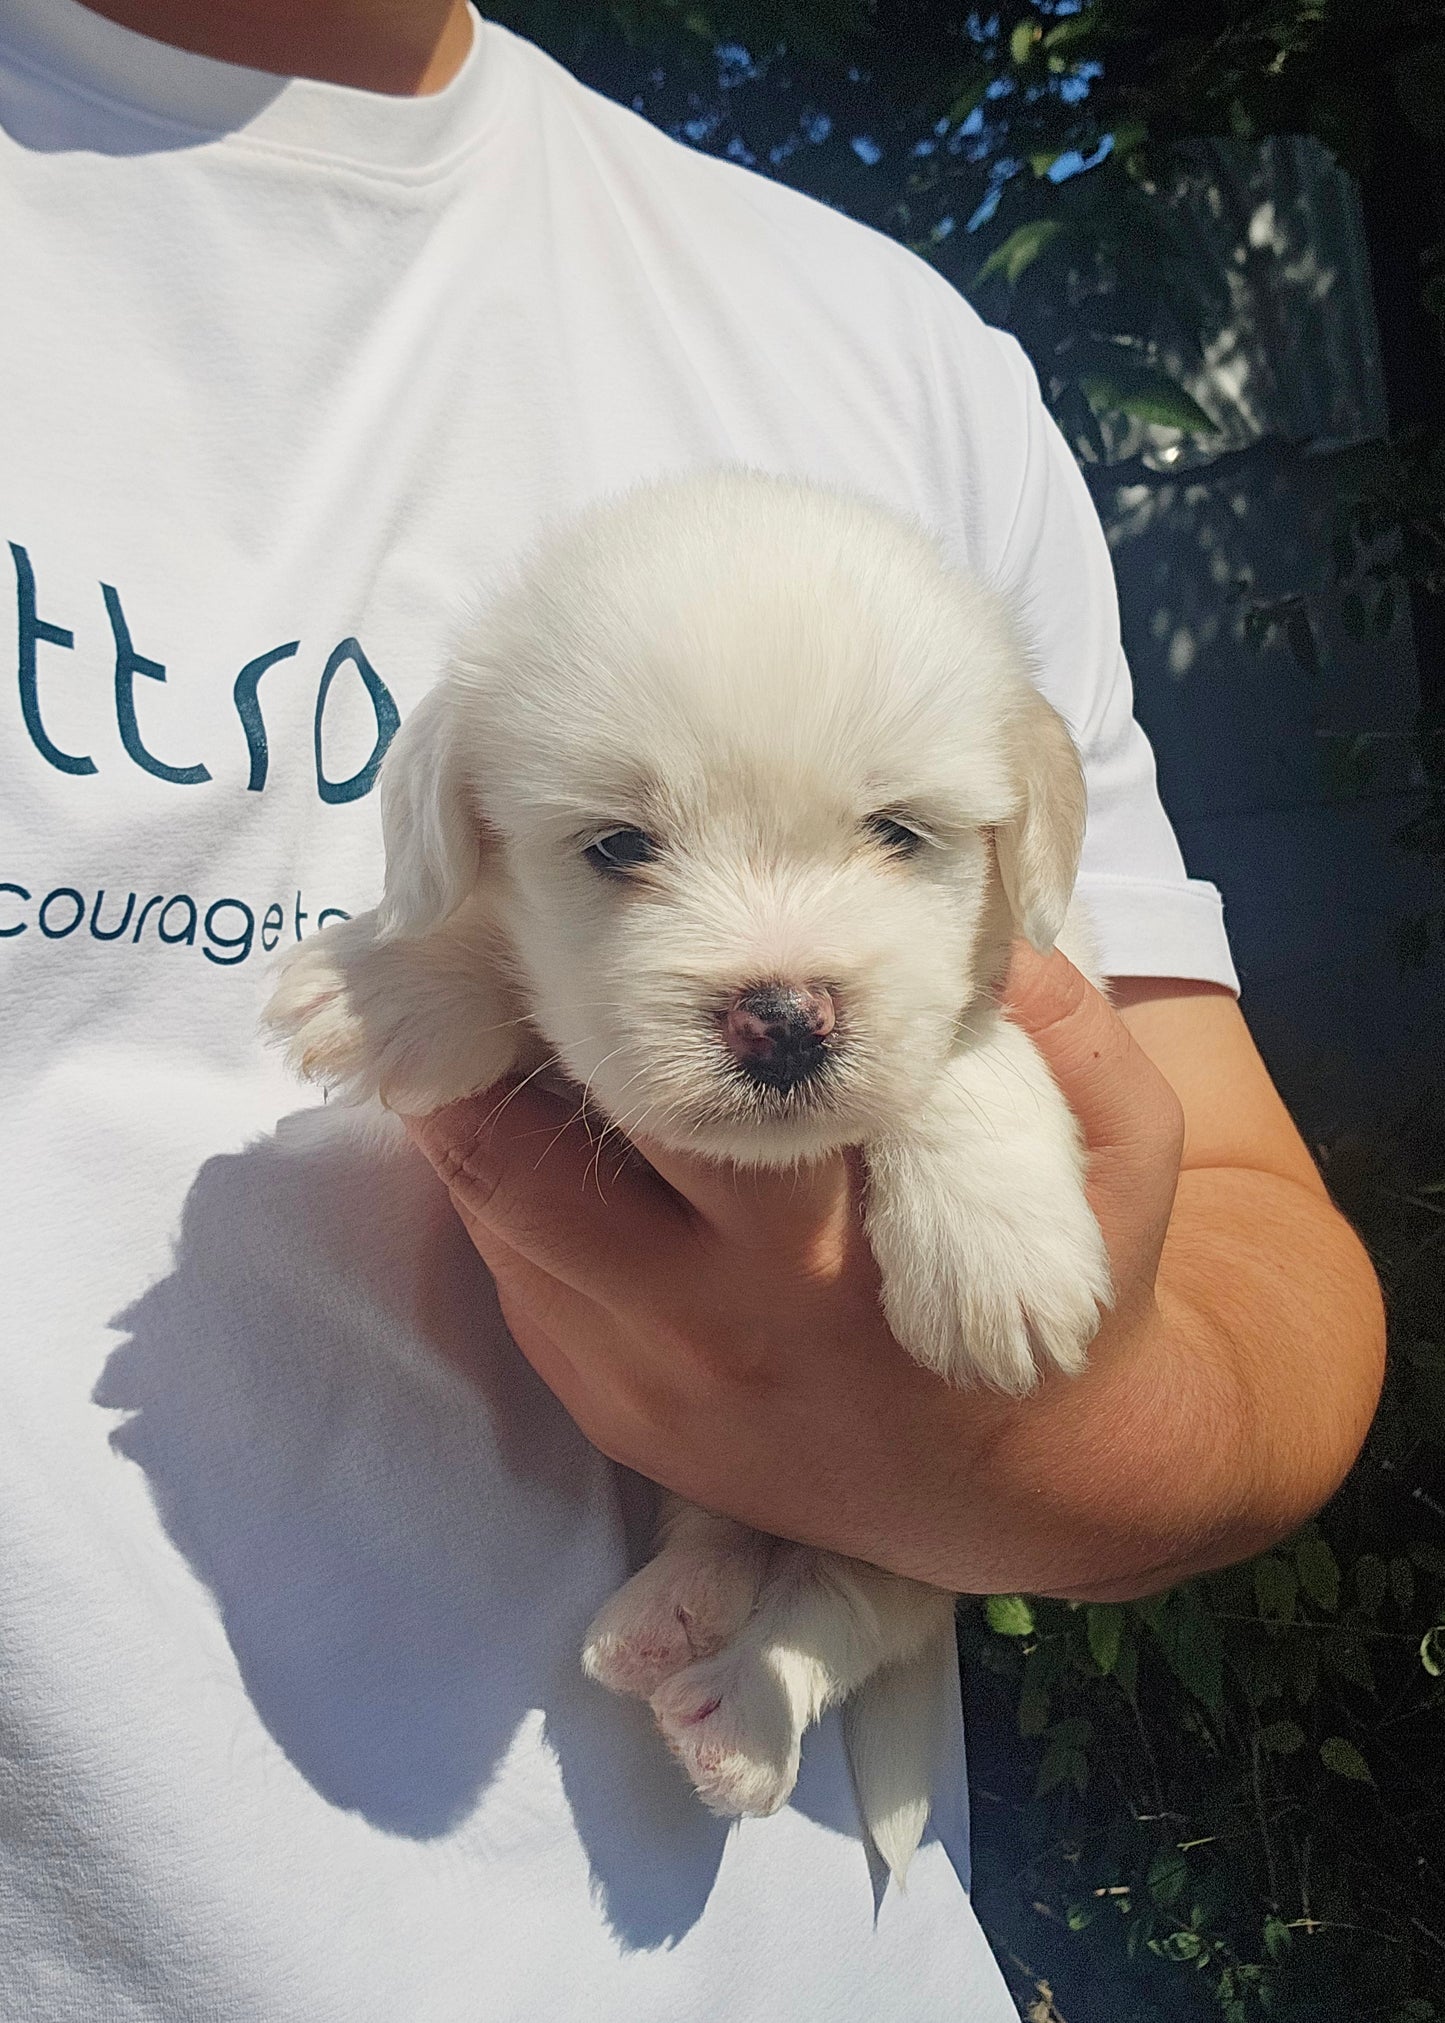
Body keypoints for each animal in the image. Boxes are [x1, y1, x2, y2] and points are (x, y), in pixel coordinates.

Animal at [265, 469, 1109, 1877]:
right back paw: (668, 1615)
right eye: (617, 846)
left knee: (833, 1609)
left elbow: (970, 1052)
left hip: (920, 1533)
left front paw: (999, 1255)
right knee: (727, 1530)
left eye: (898, 832)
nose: (780, 1019)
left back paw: (739, 1716)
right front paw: (384, 981)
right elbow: (505, 960)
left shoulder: (1033, 972)